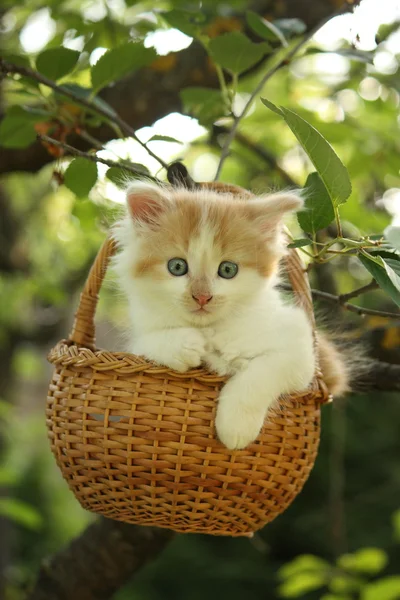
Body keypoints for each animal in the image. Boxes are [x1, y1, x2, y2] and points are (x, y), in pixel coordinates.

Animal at [111, 182, 346, 450]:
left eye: (227, 270)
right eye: (177, 267)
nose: (202, 297)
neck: (211, 330)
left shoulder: (299, 346)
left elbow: (260, 373)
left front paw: (236, 428)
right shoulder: (137, 342)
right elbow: (147, 342)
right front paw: (184, 345)